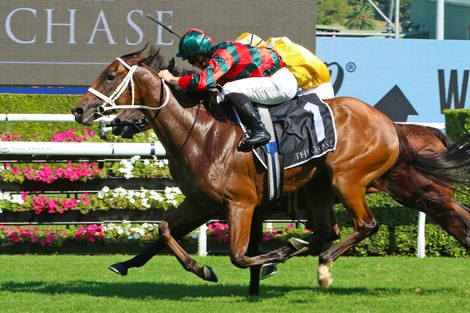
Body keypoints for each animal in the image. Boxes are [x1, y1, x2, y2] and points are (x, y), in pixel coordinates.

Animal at [71, 45, 470, 292]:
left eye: (110, 76)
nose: (79, 109)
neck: (200, 132)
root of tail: (390, 124)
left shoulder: (241, 203)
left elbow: (237, 255)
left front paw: (267, 258)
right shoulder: (203, 201)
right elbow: (165, 230)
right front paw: (136, 264)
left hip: (352, 179)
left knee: (366, 225)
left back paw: (320, 266)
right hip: (361, 189)